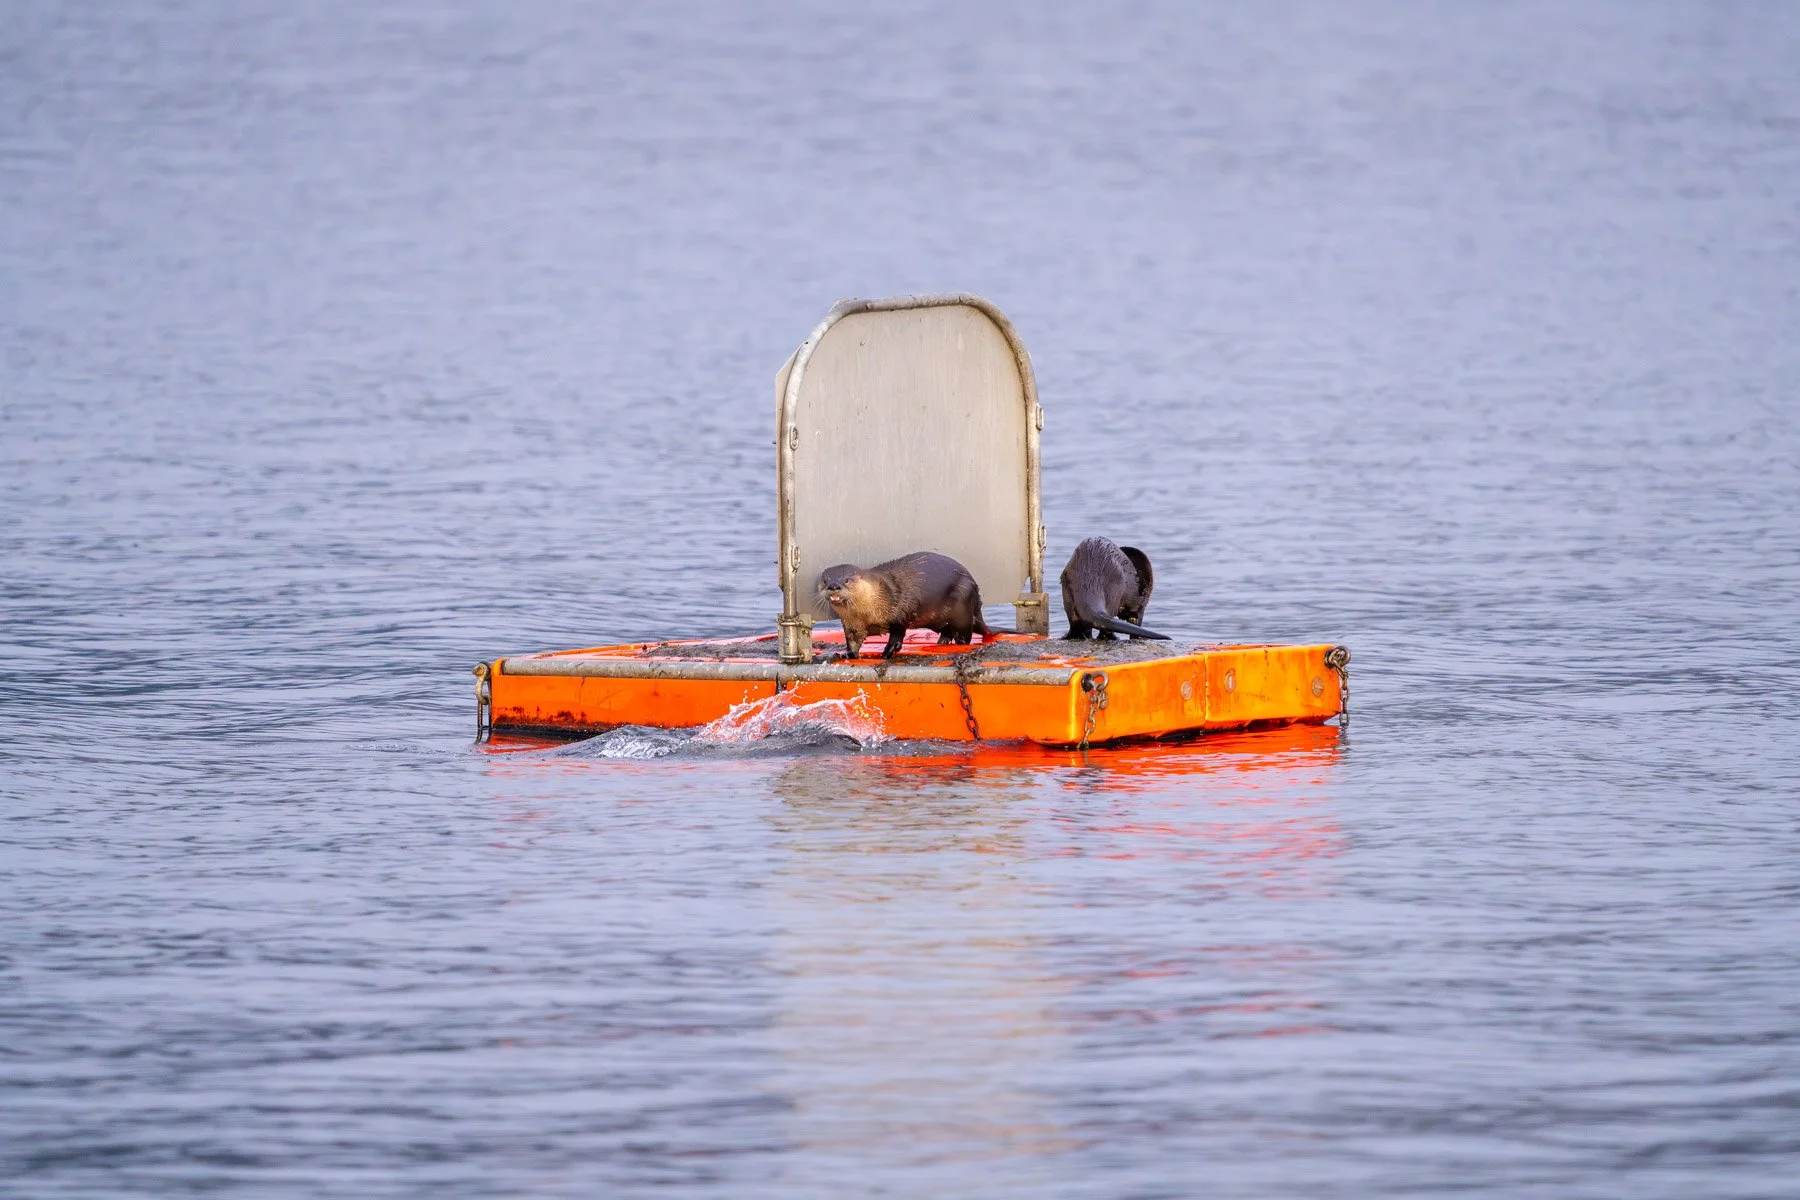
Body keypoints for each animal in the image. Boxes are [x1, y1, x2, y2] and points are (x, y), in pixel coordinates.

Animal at [817, 551, 991, 660]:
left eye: (847, 580)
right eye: (825, 580)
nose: (833, 586)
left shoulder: (899, 609)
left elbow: (898, 631)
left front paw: (889, 650)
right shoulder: (852, 624)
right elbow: (853, 641)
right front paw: (847, 654)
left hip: (963, 604)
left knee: (964, 634)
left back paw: (958, 643)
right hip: (936, 619)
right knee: (947, 629)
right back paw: (942, 641)